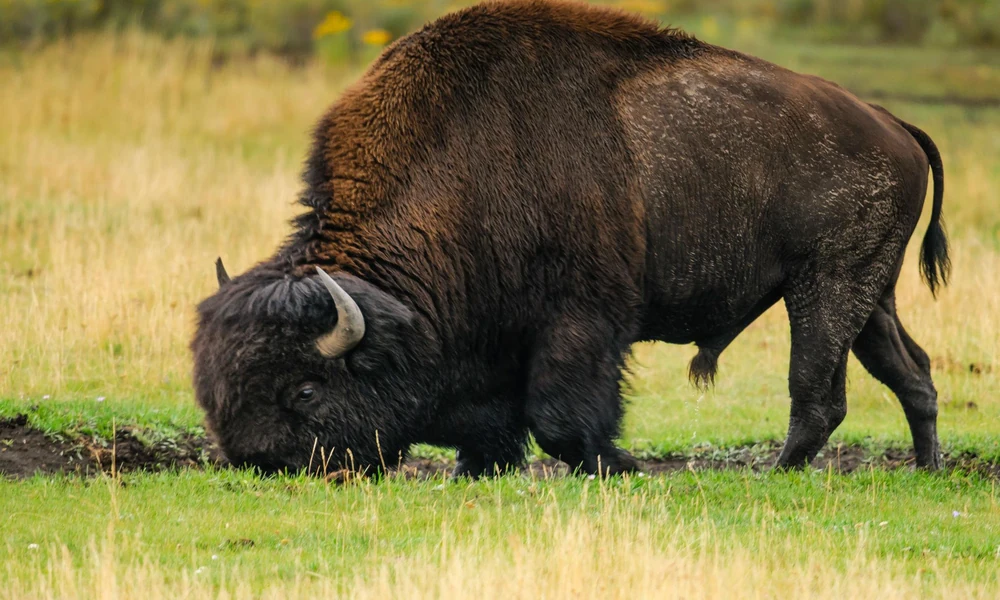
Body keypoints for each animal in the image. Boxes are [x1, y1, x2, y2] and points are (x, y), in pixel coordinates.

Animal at [192, 0, 949, 477]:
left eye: (306, 391)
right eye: (214, 387)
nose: (264, 463)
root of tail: (893, 124)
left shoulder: (581, 318)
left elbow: (560, 414)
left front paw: (622, 465)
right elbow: (498, 420)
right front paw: (476, 468)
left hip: (825, 289)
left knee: (817, 391)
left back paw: (775, 472)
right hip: (868, 295)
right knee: (910, 373)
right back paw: (925, 468)